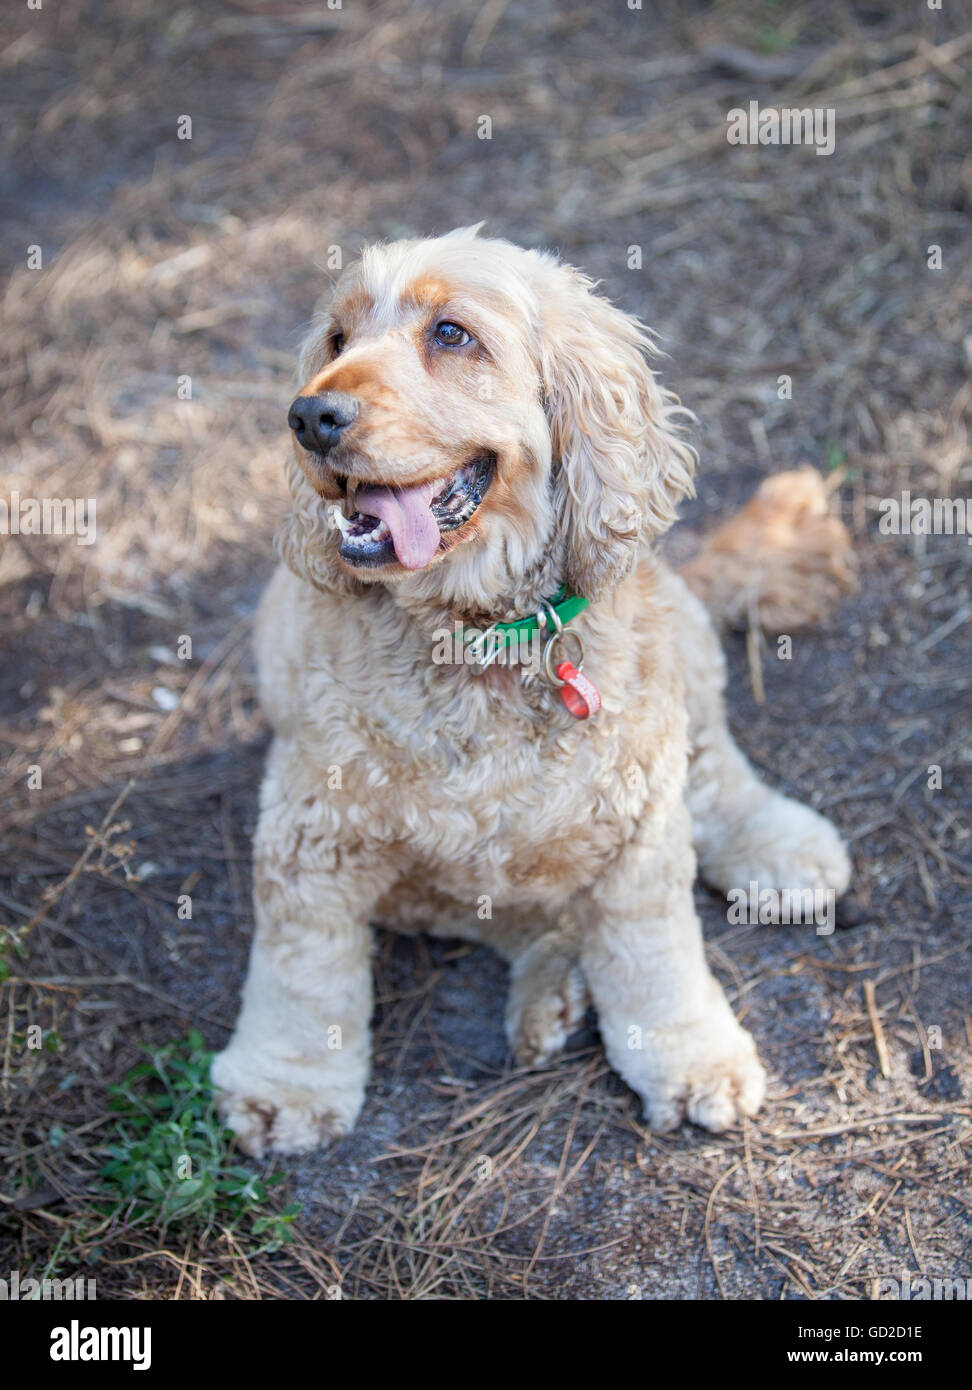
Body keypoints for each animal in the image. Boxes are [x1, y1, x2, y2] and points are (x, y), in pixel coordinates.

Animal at [211, 227, 851, 1156]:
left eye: (451, 334)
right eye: (335, 339)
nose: (308, 418)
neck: (480, 637)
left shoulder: (643, 828)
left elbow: (656, 957)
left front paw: (690, 1056)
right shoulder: (313, 833)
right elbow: (303, 973)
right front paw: (282, 1085)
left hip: (684, 665)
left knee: (717, 771)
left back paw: (780, 849)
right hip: (435, 885)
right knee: (523, 917)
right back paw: (548, 993)